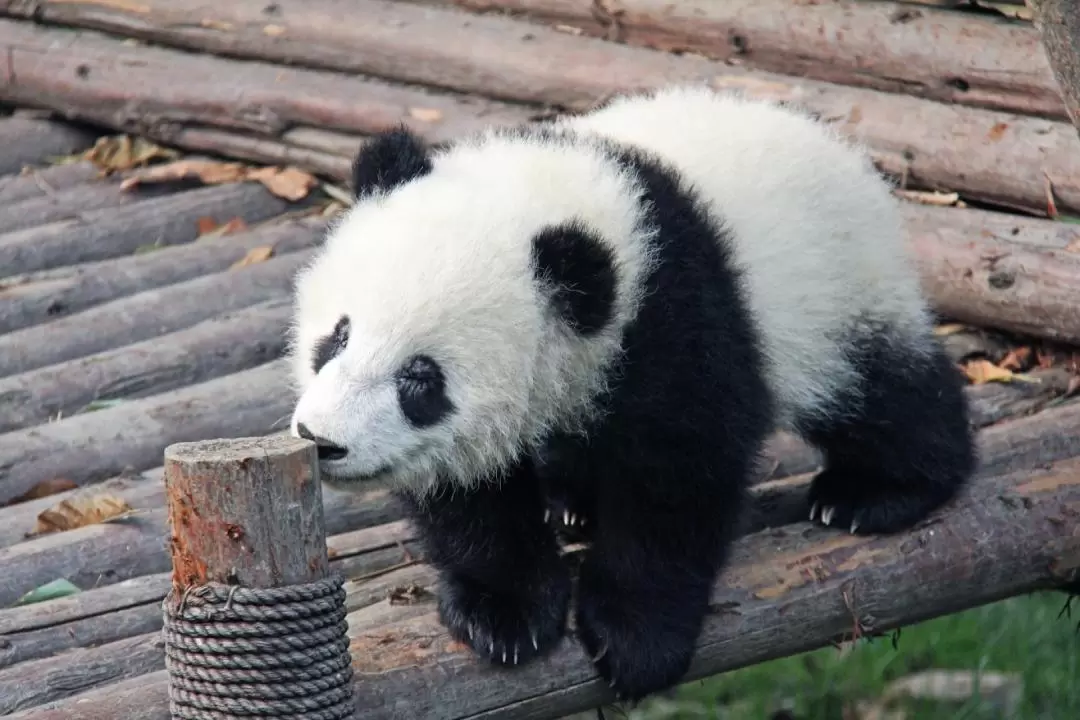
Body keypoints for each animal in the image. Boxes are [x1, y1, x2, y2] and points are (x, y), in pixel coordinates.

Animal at [289, 85, 980, 703]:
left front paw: (634, 638)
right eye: (338, 335)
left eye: (420, 379)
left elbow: (678, 475)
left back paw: (875, 492)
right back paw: (574, 502)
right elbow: (471, 492)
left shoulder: (675, 314)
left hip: (837, 288)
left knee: (879, 391)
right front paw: (505, 610)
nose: (322, 440)